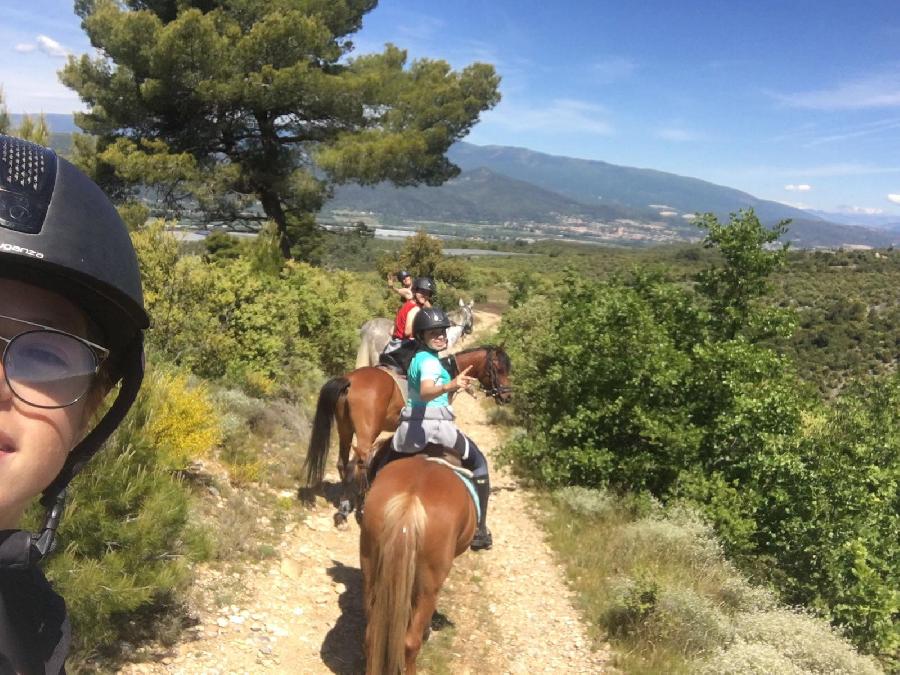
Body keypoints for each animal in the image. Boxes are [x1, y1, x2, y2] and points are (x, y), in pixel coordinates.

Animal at [304, 348, 510, 528]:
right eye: (499, 369)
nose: (507, 396)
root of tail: (350, 380)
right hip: (366, 432)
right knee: (360, 462)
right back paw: (357, 504)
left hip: (345, 429)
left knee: (344, 463)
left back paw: (344, 508)